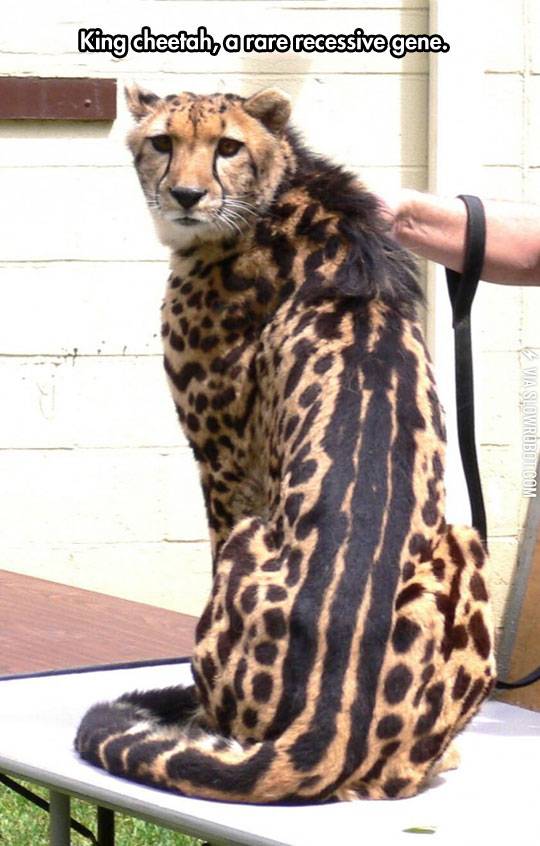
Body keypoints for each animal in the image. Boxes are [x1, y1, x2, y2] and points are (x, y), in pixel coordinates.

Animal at [75, 84, 495, 804]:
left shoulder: (221, 463)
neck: (275, 194)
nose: (186, 194)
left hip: (258, 538)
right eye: (162, 142)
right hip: (465, 539)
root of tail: (322, 727)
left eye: (227, 146)